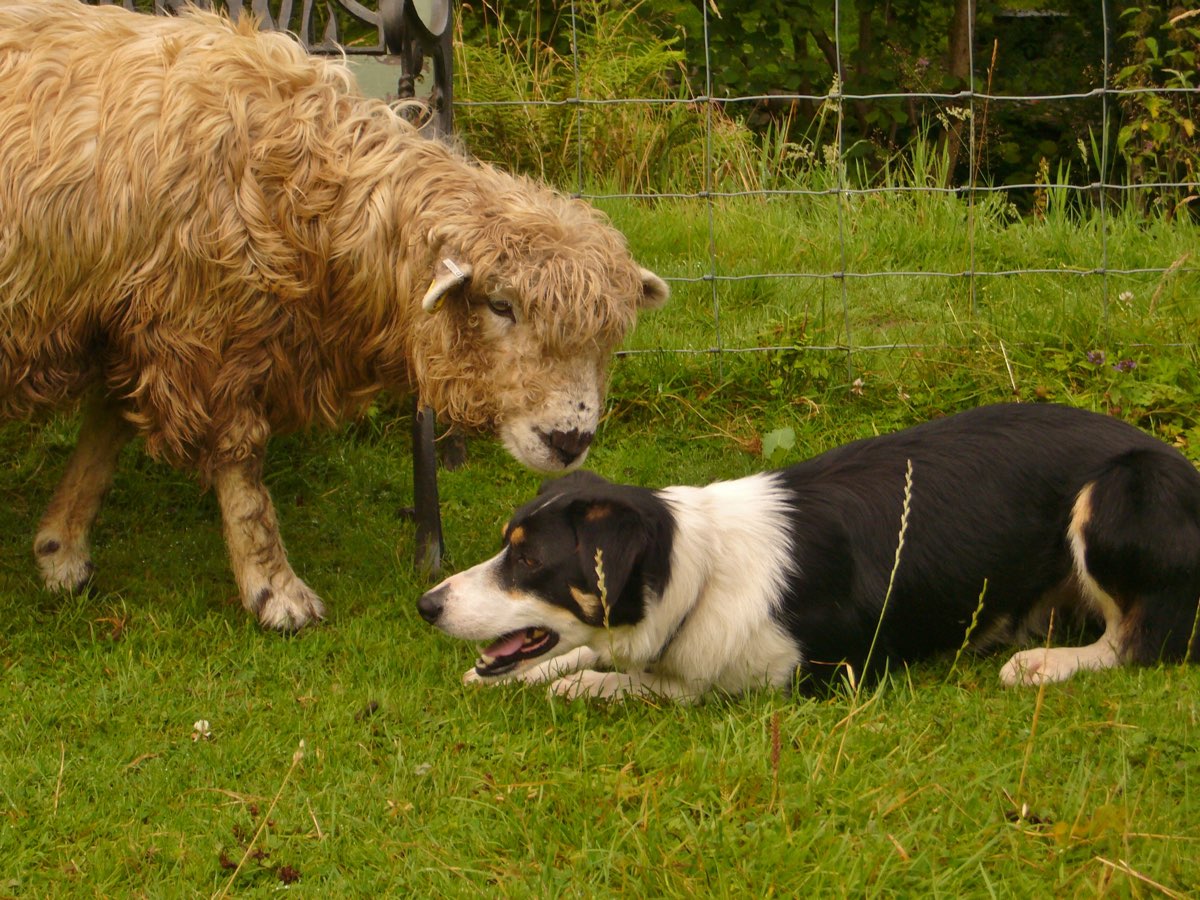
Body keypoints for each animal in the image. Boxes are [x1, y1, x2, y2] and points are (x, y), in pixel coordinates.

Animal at [0, 0, 667, 628]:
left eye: (608, 338)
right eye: (500, 304)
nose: (570, 440)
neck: (301, 187)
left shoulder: (134, 313)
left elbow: (107, 427)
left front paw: (60, 548)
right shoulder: (202, 330)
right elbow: (240, 467)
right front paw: (273, 589)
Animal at [415, 403, 1200, 705]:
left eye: (529, 562)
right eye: (506, 547)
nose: (427, 605)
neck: (699, 574)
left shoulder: (799, 676)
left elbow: (649, 683)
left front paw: (580, 683)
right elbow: (580, 650)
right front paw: (510, 673)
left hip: (1117, 494)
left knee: (1143, 638)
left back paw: (1046, 663)